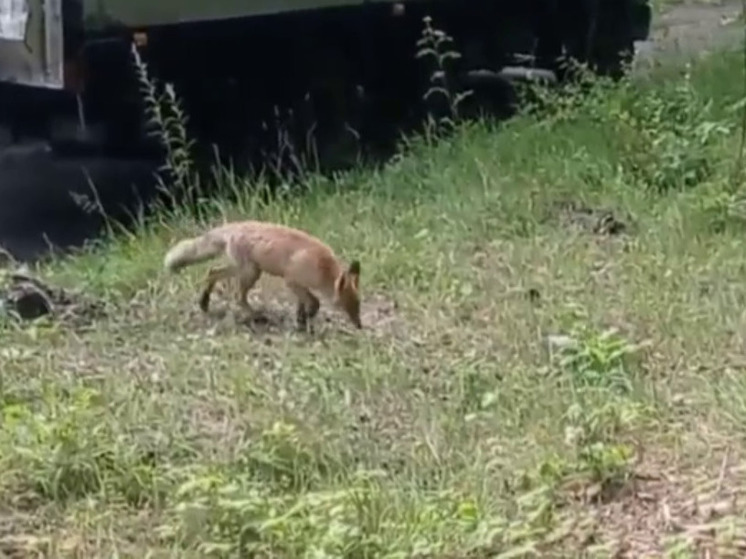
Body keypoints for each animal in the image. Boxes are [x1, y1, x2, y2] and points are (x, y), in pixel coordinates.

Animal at [163, 220, 360, 332]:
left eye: (358, 305)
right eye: (349, 306)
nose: (360, 325)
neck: (322, 267)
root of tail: (233, 226)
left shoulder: (299, 286)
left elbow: (303, 305)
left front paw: (301, 321)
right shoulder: (292, 281)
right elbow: (315, 303)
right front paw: (305, 321)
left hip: (246, 270)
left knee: (212, 272)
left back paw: (204, 302)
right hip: (250, 272)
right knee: (237, 296)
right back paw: (255, 316)